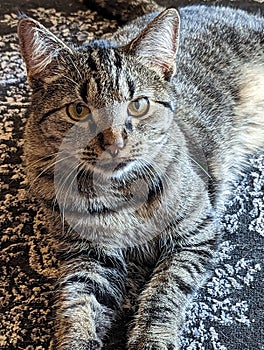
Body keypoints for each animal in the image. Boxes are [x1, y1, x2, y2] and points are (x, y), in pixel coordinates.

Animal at [17, 1, 262, 348]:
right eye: (78, 111)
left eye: (139, 105)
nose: (115, 143)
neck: (120, 191)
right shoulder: (88, 254)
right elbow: (78, 304)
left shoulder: (195, 234)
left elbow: (164, 292)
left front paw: (150, 338)